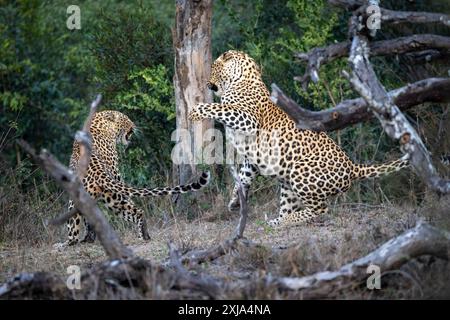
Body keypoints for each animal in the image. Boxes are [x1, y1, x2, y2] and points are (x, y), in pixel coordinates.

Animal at [61, 110, 209, 245]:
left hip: (95, 197)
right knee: (136, 211)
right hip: (108, 196)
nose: (134, 125)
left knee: (74, 230)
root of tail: (97, 171)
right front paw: (89, 238)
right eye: (127, 119)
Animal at [188, 50, 410, 228]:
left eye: (213, 67)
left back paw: (284, 221)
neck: (242, 78)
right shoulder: (252, 159)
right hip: (287, 184)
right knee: (291, 207)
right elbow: (243, 178)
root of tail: (353, 168)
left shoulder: (248, 119)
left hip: (300, 172)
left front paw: (194, 112)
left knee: (321, 209)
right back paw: (276, 222)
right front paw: (235, 201)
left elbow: (218, 107)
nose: (207, 83)